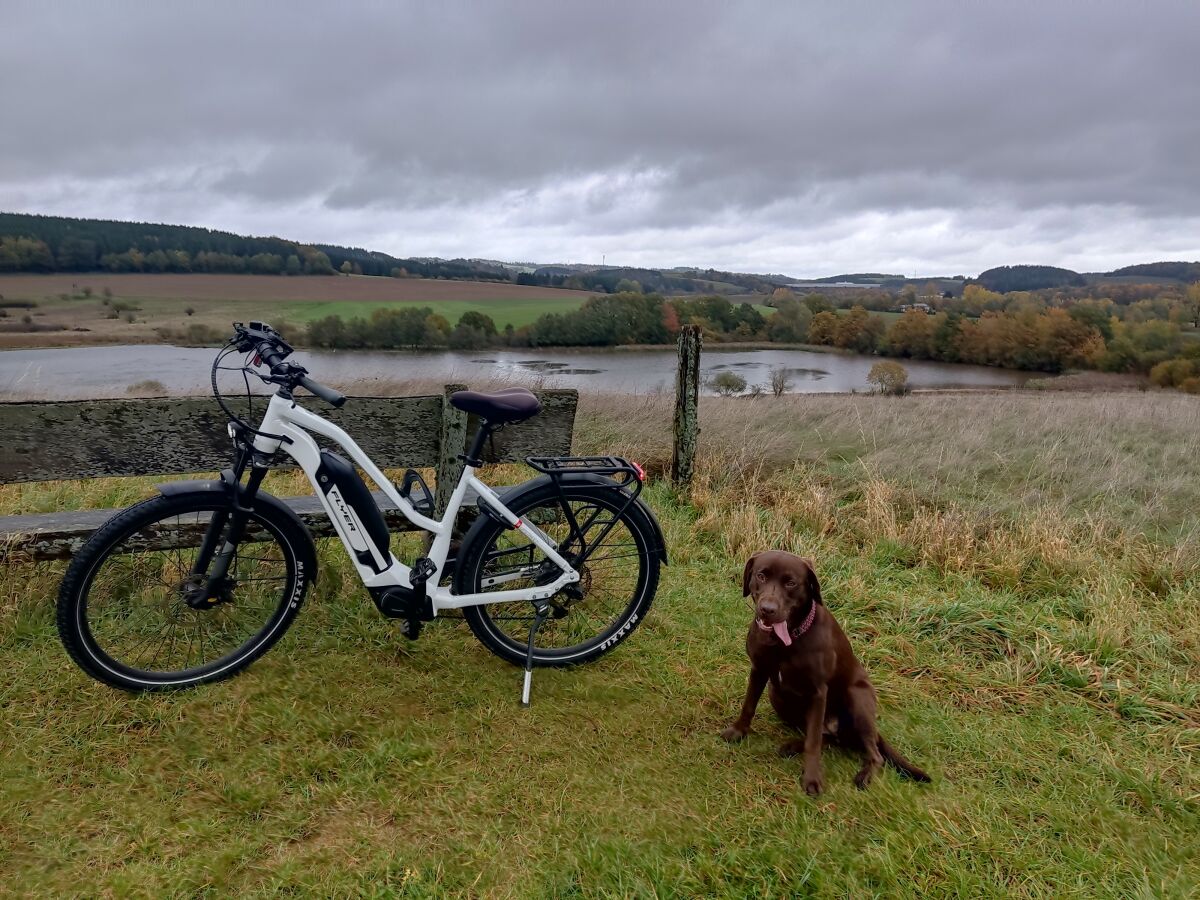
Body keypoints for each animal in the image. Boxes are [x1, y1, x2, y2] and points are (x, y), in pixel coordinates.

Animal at [715, 549, 931, 796]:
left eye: (791, 583)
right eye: (761, 575)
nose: (768, 609)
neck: (784, 642)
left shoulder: (818, 692)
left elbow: (813, 742)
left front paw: (811, 778)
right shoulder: (759, 670)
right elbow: (749, 705)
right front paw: (737, 731)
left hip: (857, 698)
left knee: (871, 753)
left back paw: (864, 776)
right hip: (776, 695)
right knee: (827, 737)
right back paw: (793, 745)